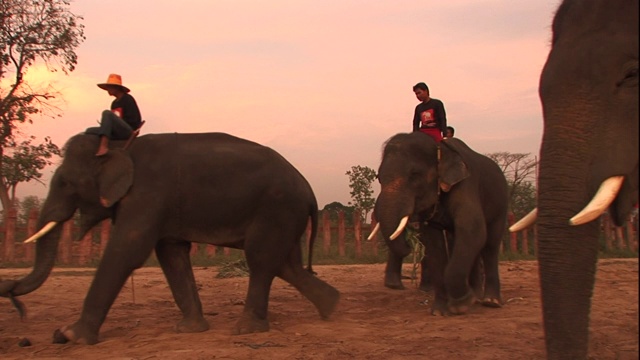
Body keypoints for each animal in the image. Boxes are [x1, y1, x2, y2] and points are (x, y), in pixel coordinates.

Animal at [0, 131, 340, 344]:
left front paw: (72, 336)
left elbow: (127, 249)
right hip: (284, 213)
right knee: (286, 264)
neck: (119, 144)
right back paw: (332, 307)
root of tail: (310, 191)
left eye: (65, 183)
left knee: (261, 260)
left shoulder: (147, 193)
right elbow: (171, 253)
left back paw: (247, 331)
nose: (10, 289)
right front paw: (190, 331)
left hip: (276, 206)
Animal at [372, 133, 508, 316]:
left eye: (415, 175)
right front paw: (440, 311)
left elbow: (472, 229)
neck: (440, 149)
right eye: (379, 178)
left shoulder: (465, 185)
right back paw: (476, 296)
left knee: (490, 245)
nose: (409, 243)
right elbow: (433, 243)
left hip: (501, 203)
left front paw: (461, 305)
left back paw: (490, 301)